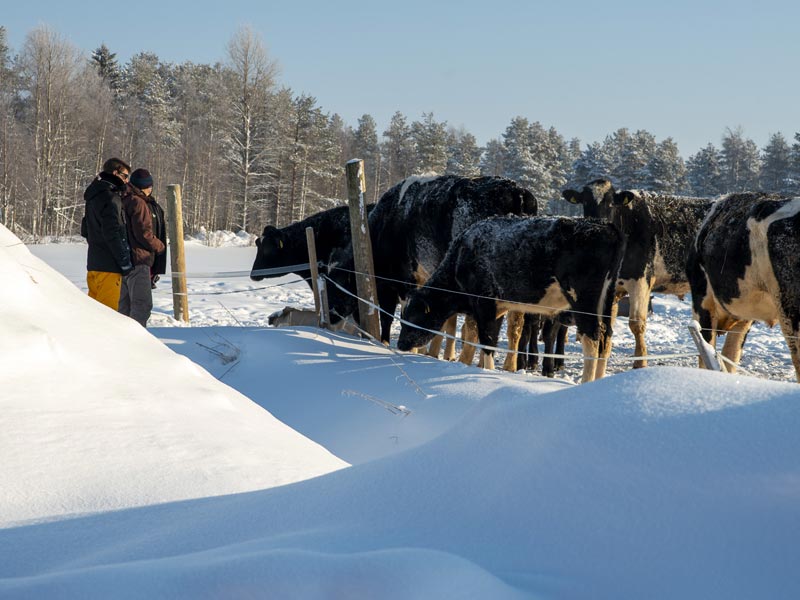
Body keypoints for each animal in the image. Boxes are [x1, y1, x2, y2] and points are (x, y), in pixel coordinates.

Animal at [326, 175, 538, 346]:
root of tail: (516, 191)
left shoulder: (401, 280)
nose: (328, 320)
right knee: (515, 327)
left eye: (333, 289)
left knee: (475, 327)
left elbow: (392, 316)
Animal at [396, 216, 626, 383]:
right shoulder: (498, 307)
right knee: (606, 337)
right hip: (607, 299)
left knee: (592, 337)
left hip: (584, 300)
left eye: (414, 316)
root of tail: (605, 225)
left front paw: (488, 371)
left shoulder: (484, 303)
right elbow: (489, 337)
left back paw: (586, 381)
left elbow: (487, 340)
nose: (400, 344)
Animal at [562, 179, 714, 373]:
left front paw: (640, 361)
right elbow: (606, 326)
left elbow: (636, 324)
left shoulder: (641, 281)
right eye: (585, 202)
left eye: (611, 203)